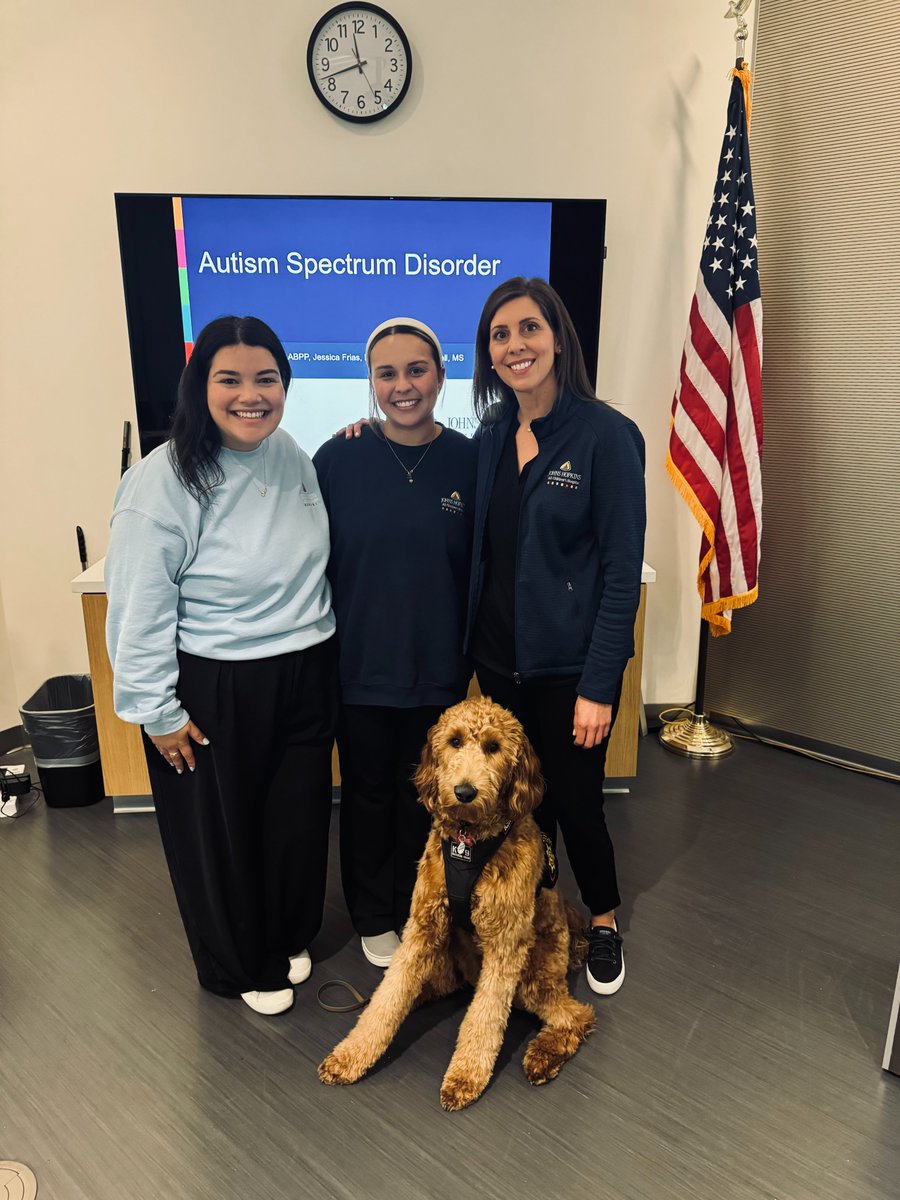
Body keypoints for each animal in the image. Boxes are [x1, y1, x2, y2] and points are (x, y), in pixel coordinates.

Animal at [319, 700, 600, 1108]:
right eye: (454, 741)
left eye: (494, 747)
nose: (464, 791)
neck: (469, 841)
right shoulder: (422, 926)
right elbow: (388, 997)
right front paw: (351, 1055)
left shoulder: (505, 944)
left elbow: (484, 1016)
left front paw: (465, 1076)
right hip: (446, 953)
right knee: (418, 987)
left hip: (533, 977)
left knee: (577, 1016)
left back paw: (542, 1056)